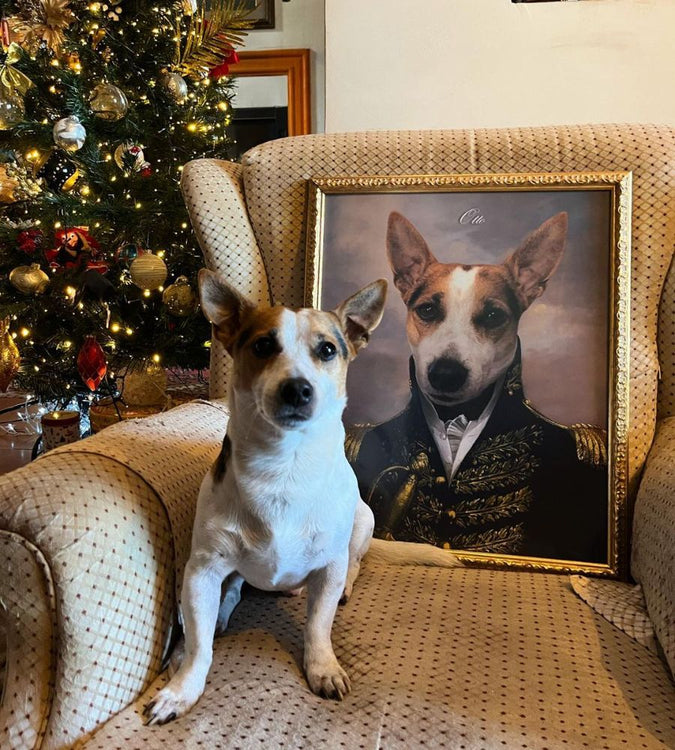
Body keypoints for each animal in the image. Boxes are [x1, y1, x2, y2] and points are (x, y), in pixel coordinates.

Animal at [143, 272, 460, 728]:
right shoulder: (202, 570)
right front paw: (182, 689)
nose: (297, 389)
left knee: (355, 562)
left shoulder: (327, 567)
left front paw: (322, 667)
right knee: (233, 589)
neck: (283, 466)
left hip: (363, 520)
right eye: (262, 345)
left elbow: (318, 628)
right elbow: (201, 644)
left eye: (327, 349)